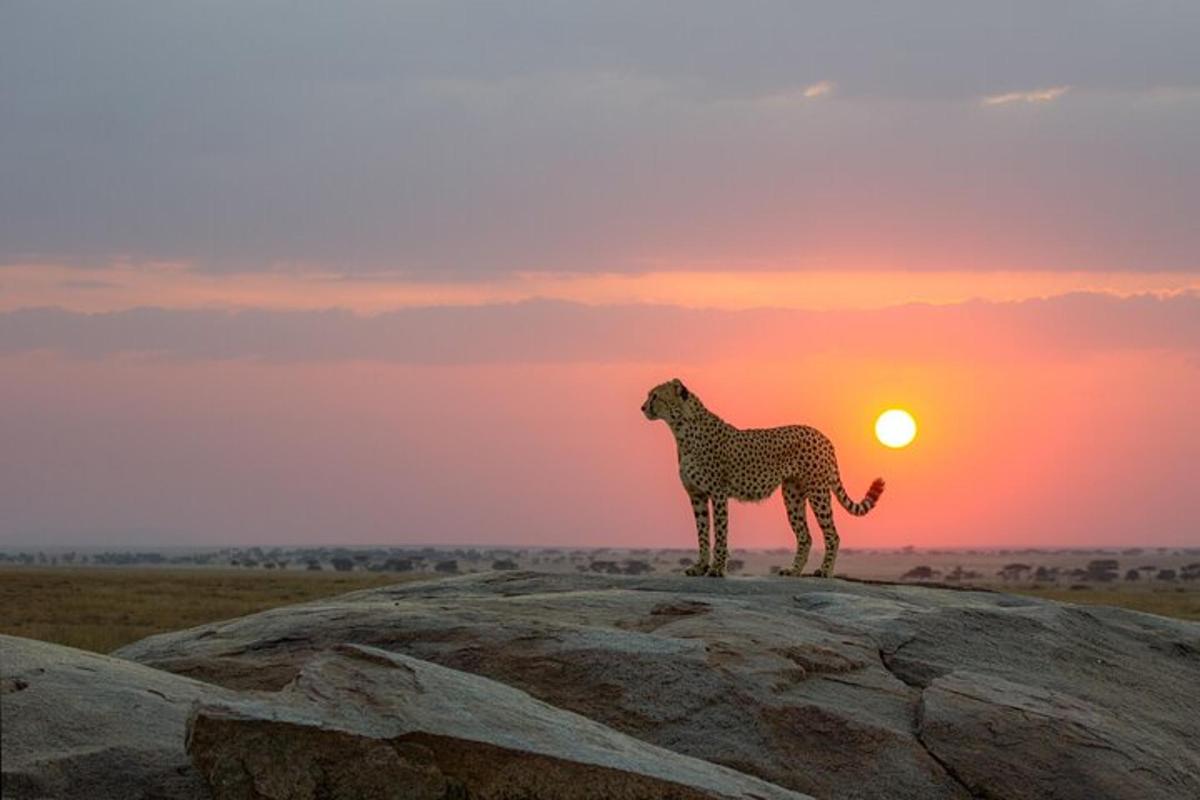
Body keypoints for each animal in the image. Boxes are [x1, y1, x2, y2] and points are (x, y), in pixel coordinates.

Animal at [643, 379, 888, 578]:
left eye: (655, 396)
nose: (643, 407)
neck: (681, 429)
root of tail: (822, 435)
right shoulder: (697, 495)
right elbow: (702, 532)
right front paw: (700, 567)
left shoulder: (718, 493)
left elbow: (720, 532)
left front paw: (716, 569)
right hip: (792, 495)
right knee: (805, 536)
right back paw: (793, 571)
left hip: (818, 491)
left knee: (832, 534)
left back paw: (825, 571)